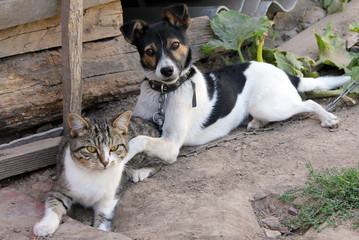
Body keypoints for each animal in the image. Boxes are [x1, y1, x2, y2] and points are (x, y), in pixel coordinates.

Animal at [33, 110, 162, 236]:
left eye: (114, 148)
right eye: (91, 149)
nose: (105, 162)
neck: (95, 174)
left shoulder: (109, 198)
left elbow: (104, 218)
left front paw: (102, 229)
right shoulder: (60, 187)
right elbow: (53, 205)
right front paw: (45, 226)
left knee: (161, 160)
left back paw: (140, 172)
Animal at [121, 3, 352, 180]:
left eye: (175, 45)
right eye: (150, 51)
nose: (167, 70)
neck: (164, 92)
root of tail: (286, 73)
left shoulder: (172, 144)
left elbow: (139, 140)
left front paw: (127, 155)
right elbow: (146, 144)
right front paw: (142, 169)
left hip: (268, 106)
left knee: (308, 103)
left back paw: (327, 117)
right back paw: (256, 123)